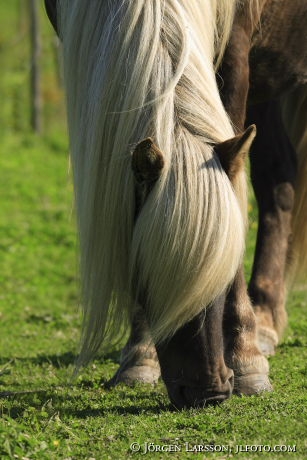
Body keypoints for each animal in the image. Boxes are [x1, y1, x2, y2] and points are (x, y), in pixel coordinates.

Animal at [45, 0, 307, 410]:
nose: (210, 391)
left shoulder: (235, 52)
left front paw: (247, 361)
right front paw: (140, 354)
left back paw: (263, 323)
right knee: (278, 177)